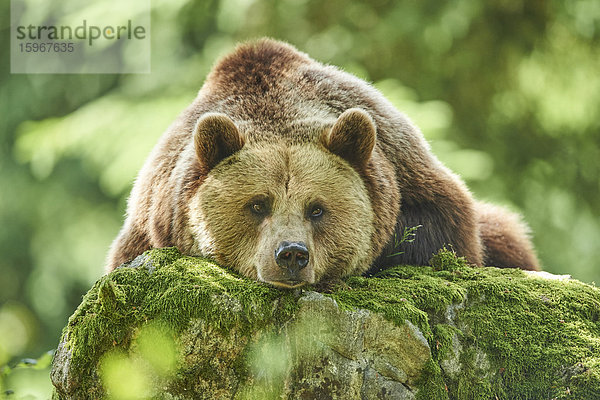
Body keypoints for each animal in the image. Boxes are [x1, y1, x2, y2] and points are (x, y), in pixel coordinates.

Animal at [106, 38, 540, 288]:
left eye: (316, 209)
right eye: (257, 205)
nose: (292, 254)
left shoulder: (404, 170)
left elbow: (436, 234)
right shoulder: (150, 222)